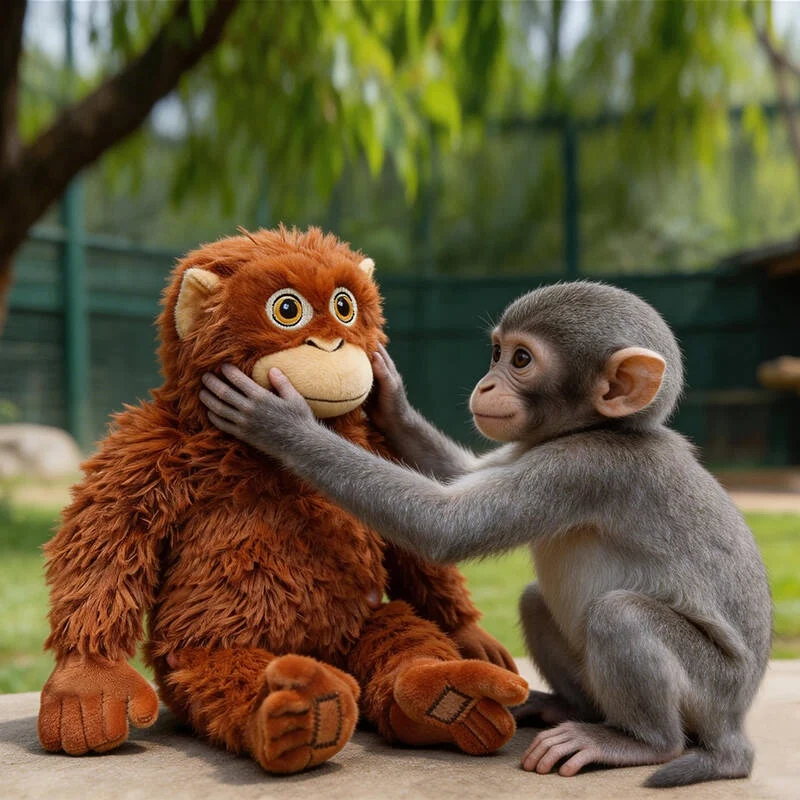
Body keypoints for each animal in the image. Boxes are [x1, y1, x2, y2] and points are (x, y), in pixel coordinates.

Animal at [199, 280, 773, 788]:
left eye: (520, 360)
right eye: (497, 353)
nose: (486, 384)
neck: (606, 427)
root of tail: (735, 726)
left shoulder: (587, 465)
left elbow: (447, 526)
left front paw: (280, 422)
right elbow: (458, 475)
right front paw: (391, 400)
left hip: (712, 688)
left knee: (620, 614)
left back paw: (639, 743)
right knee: (536, 599)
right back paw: (567, 708)